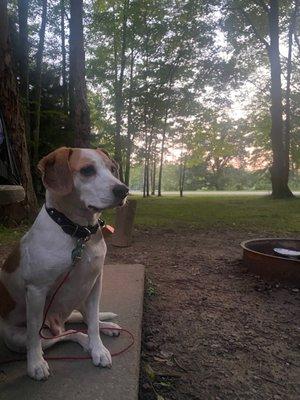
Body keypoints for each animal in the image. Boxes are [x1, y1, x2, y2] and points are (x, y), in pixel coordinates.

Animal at [0, 148, 127, 382]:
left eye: (113, 169)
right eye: (87, 170)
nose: (123, 190)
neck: (78, 233)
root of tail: (58, 321)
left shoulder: (95, 283)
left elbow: (93, 322)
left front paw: (98, 348)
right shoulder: (36, 292)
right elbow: (34, 336)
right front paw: (35, 364)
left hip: (82, 297)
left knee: (83, 322)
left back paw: (105, 327)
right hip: (18, 337)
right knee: (67, 334)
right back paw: (83, 342)